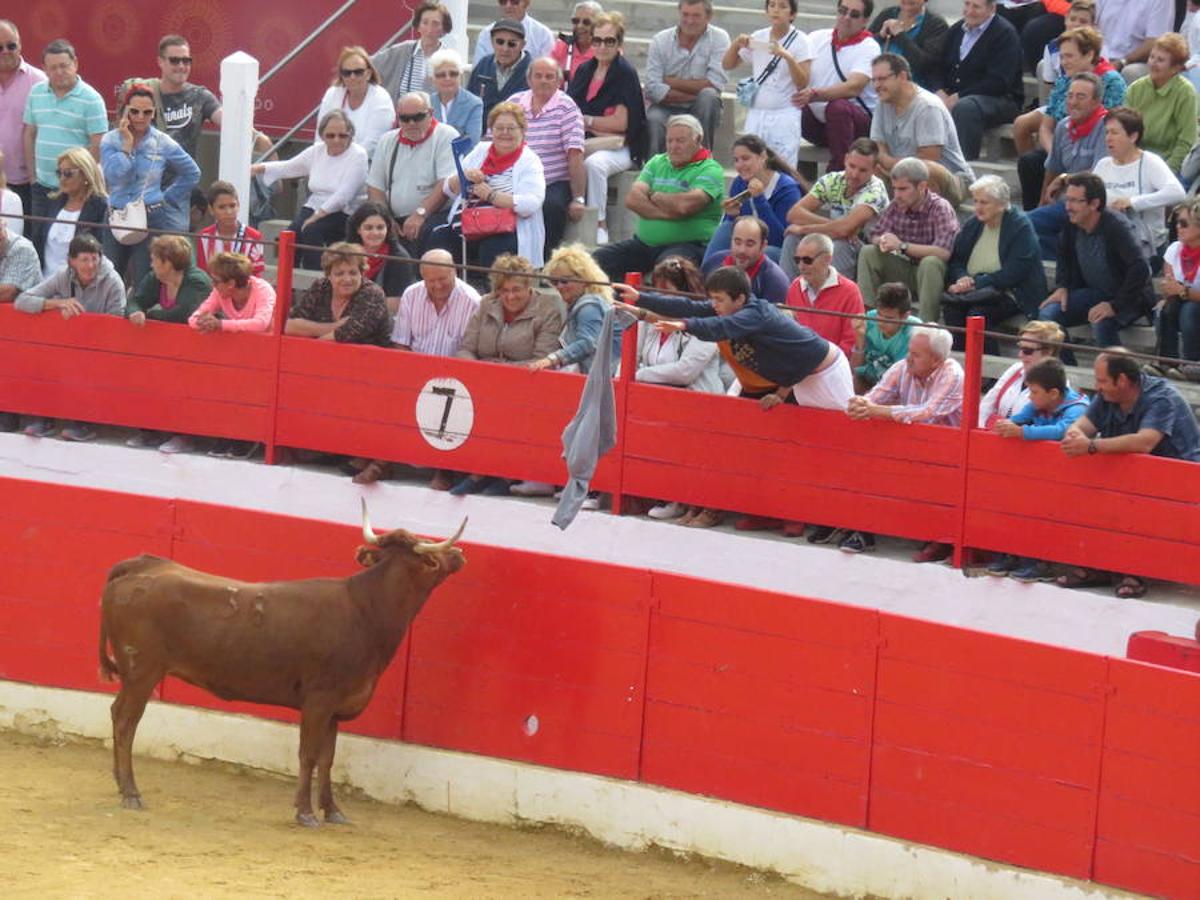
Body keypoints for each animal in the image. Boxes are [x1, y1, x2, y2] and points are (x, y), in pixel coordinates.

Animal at [98, 504, 465, 830]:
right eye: (431, 559)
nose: (460, 554)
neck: (366, 610)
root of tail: (141, 565)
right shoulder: (318, 700)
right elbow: (308, 755)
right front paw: (305, 813)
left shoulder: (336, 707)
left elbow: (328, 758)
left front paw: (333, 811)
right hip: (143, 672)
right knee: (126, 721)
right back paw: (131, 792)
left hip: (135, 674)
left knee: (117, 714)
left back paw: (119, 784)